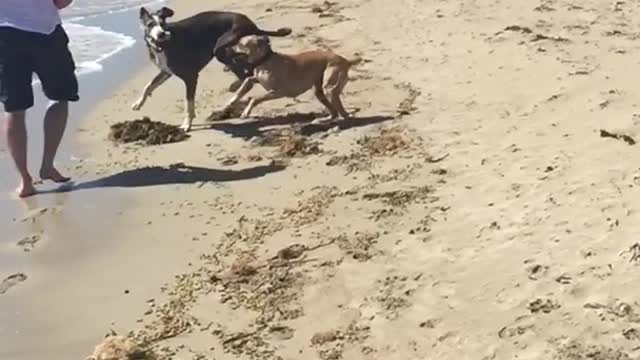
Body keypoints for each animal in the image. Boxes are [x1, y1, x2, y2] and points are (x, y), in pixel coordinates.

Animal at [133, 7, 292, 131]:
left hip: (222, 48)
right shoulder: (166, 72)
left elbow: (188, 103)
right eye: (150, 24)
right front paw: (138, 103)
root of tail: (252, 24)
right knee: (244, 73)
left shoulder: (190, 77)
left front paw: (187, 124)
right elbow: (148, 86)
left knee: (246, 72)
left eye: (163, 24)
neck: (163, 46)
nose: (161, 34)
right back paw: (235, 88)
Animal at [215, 35, 362, 121]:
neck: (264, 61)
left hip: (329, 86)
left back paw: (344, 117)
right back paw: (325, 119)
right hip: (319, 91)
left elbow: (255, 99)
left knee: (340, 109)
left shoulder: (277, 92)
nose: (225, 48)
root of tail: (346, 61)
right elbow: (245, 84)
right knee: (334, 111)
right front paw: (230, 102)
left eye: (240, 44)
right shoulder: (254, 79)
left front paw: (246, 112)